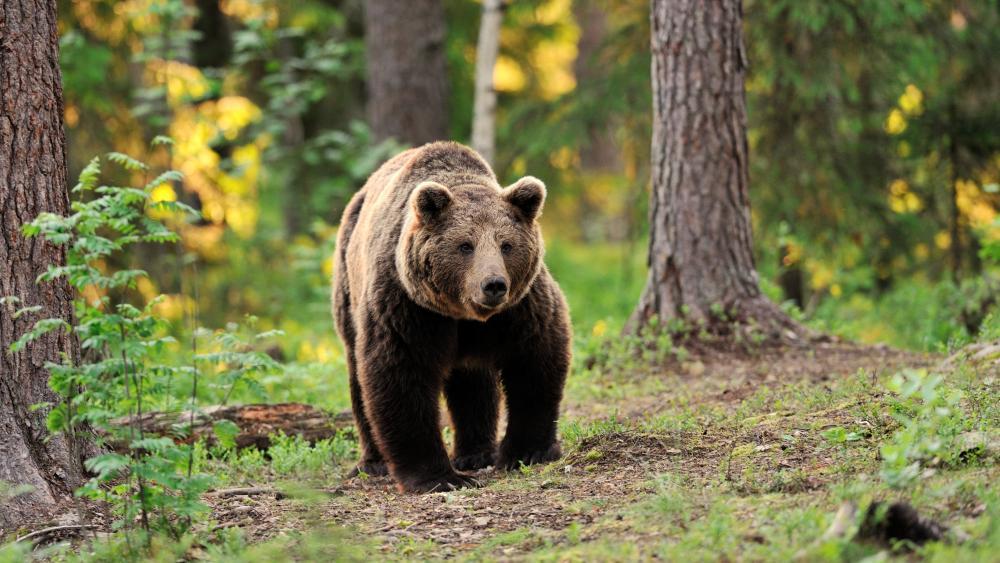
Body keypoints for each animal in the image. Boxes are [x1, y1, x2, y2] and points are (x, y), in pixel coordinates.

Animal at [332, 141, 571, 493]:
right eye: (465, 245)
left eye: (506, 245)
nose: (493, 285)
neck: (462, 313)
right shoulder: (408, 306)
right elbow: (400, 376)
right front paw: (438, 476)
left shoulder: (520, 308)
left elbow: (534, 362)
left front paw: (528, 451)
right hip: (348, 288)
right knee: (358, 378)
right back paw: (374, 462)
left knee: (473, 381)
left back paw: (476, 453)